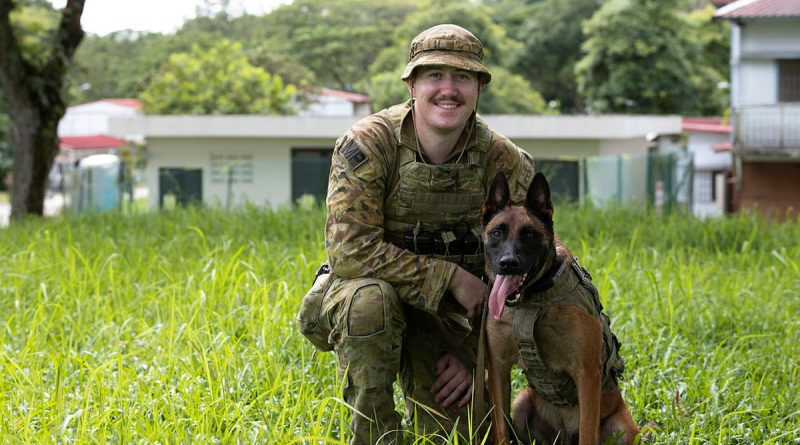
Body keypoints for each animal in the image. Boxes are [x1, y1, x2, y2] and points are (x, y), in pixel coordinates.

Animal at [482, 172, 636, 444]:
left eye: (529, 234)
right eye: (497, 233)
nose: (508, 263)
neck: (531, 301)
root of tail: (563, 435)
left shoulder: (587, 374)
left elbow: (587, 433)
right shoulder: (498, 367)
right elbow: (501, 428)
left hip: (622, 427)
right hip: (522, 402)